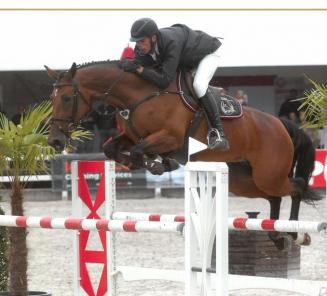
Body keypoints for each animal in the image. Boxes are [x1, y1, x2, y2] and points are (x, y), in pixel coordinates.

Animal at [46, 60, 322, 250]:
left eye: (67, 98)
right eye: (52, 97)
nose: (55, 141)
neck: (139, 96)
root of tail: (281, 123)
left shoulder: (171, 137)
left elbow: (139, 150)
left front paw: (157, 164)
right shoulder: (131, 135)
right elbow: (112, 148)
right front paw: (146, 163)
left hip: (268, 174)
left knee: (297, 187)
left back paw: (296, 232)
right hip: (244, 180)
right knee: (274, 197)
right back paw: (277, 235)